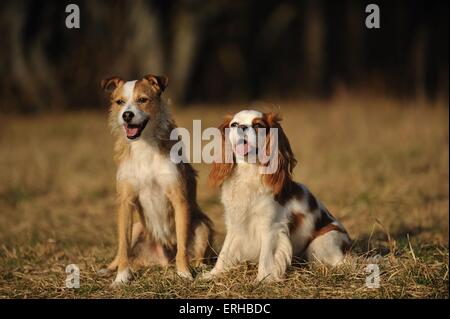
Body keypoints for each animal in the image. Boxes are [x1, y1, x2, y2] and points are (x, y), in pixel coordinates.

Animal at [101, 75, 213, 288]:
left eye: (142, 100)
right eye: (120, 102)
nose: (126, 115)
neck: (144, 146)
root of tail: (163, 259)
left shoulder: (179, 198)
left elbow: (182, 246)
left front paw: (184, 273)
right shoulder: (125, 202)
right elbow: (123, 248)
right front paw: (121, 277)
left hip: (202, 227)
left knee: (196, 254)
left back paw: (200, 267)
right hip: (137, 227)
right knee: (121, 251)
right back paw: (109, 269)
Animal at [204, 110, 352, 282]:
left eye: (258, 125)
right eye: (234, 124)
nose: (241, 127)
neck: (248, 172)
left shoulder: (271, 227)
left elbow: (266, 258)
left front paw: (262, 280)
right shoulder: (235, 224)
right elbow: (224, 253)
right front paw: (212, 274)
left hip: (322, 243)